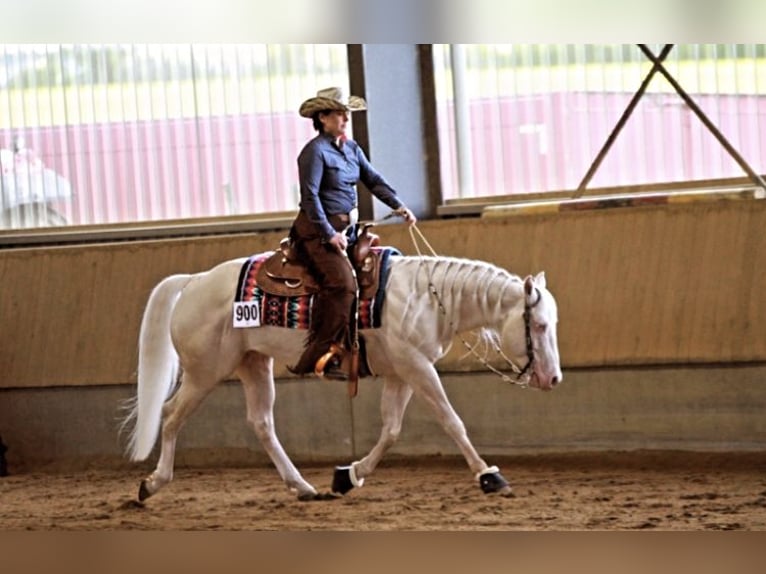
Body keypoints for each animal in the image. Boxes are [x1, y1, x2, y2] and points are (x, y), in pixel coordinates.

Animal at [121, 254, 564, 502]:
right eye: (540, 326)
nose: (554, 378)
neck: (426, 297)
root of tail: (195, 281)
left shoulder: (403, 372)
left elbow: (391, 429)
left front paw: (348, 477)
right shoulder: (417, 367)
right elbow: (452, 422)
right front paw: (490, 476)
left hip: (253, 363)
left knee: (261, 423)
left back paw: (303, 487)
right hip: (204, 372)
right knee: (171, 415)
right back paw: (153, 483)